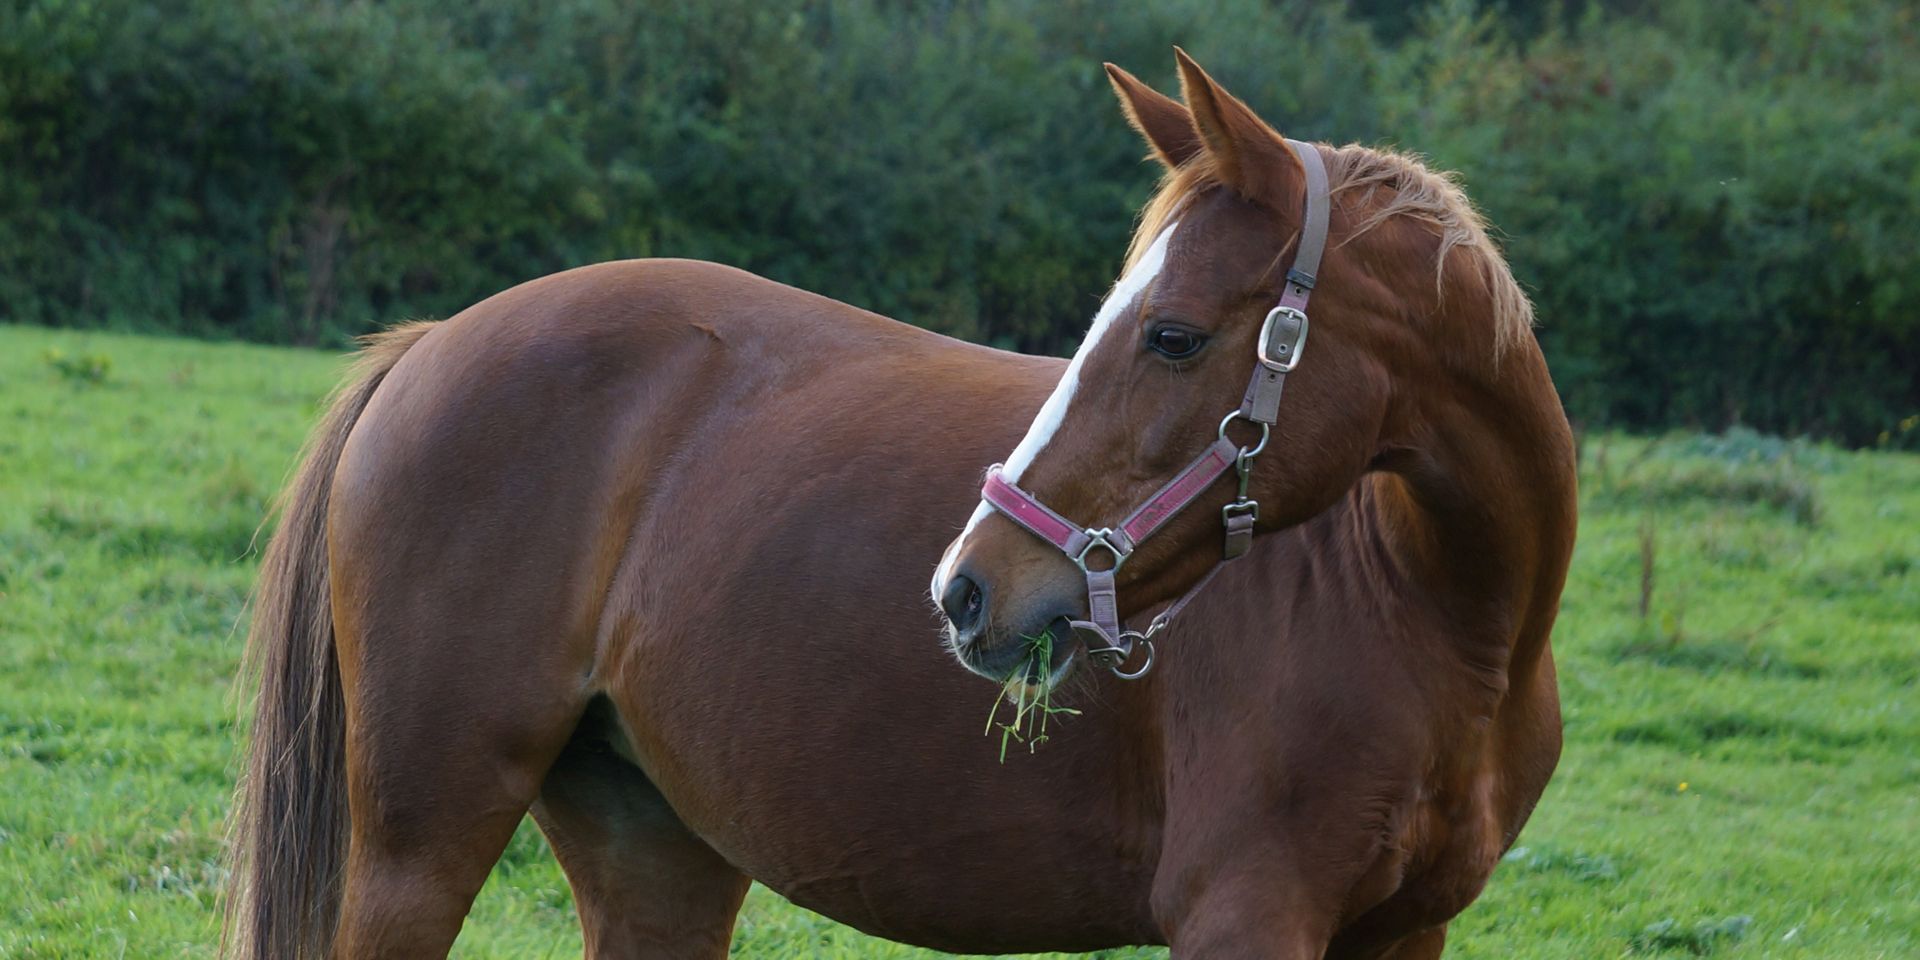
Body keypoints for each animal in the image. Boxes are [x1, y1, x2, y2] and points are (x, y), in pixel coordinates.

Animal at [224, 51, 1575, 960]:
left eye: (1174, 335)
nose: (968, 590)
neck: (1438, 622)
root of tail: (433, 342)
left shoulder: (1402, 933)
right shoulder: (1248, 916)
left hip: (654, 848)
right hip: (423, 841)